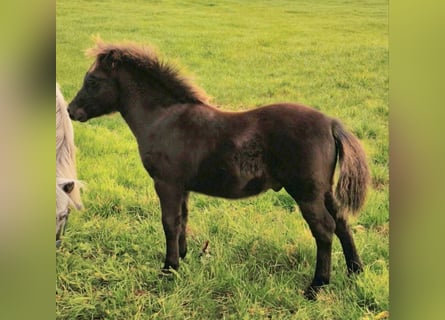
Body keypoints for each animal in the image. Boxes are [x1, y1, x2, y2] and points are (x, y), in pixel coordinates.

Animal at [67, 40, 370, 300]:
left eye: (92, 81)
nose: (71, 110)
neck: (163, 119)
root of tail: (331, 123)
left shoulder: (166, 183)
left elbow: (169, 222)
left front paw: (169, 269)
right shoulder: (182, 186)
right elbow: (182, 220)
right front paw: (183, 256)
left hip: (306, 192)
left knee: (324, 229)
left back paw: (317, 287)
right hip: (324, 190)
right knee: (342, 222)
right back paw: (355, 271)